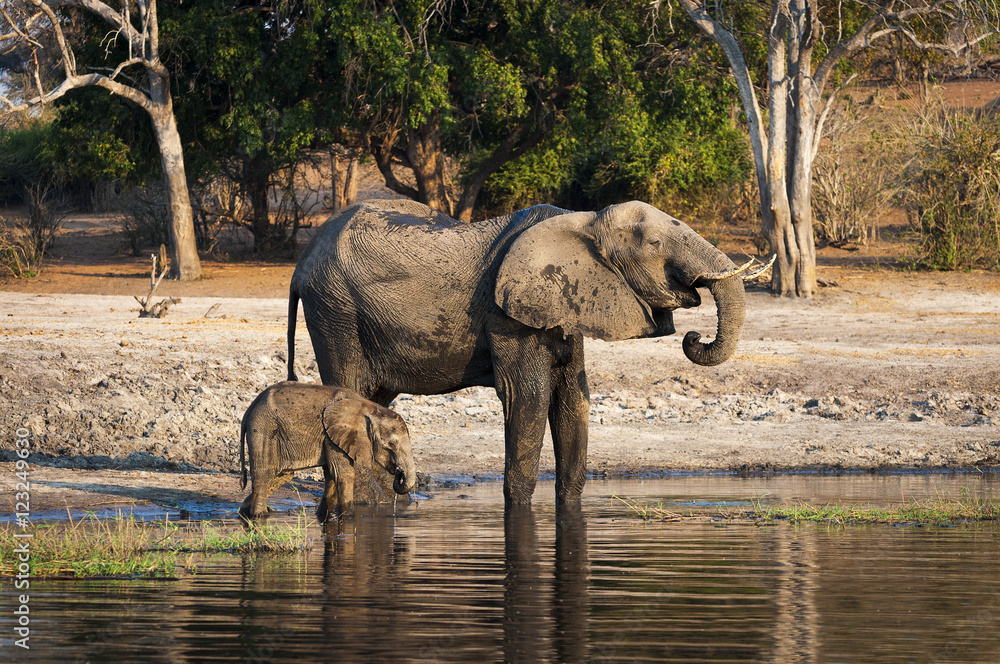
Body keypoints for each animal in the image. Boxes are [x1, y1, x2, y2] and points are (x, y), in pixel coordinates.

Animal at [239, 381, 416, 521]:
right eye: (392, 444)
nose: (399, 472)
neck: (368, 408)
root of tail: (248, 411)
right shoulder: (333, 435)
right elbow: (343, 473)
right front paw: (349, 518)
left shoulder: (331, 437)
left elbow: (331, 474)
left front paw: (324, 517)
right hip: (263, 428)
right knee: (264, 472)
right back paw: (258, 516)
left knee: (283, 475)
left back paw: (244, 512)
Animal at [287, 199, 765, 505]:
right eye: (652, 245)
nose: (694, 337)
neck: (583, 220)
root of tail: (301, 262)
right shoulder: (509, 316)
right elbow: (529, 399)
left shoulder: (566, 305)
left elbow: (573, 400)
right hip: (335, 311)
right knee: (348, 389)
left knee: (374, 401)